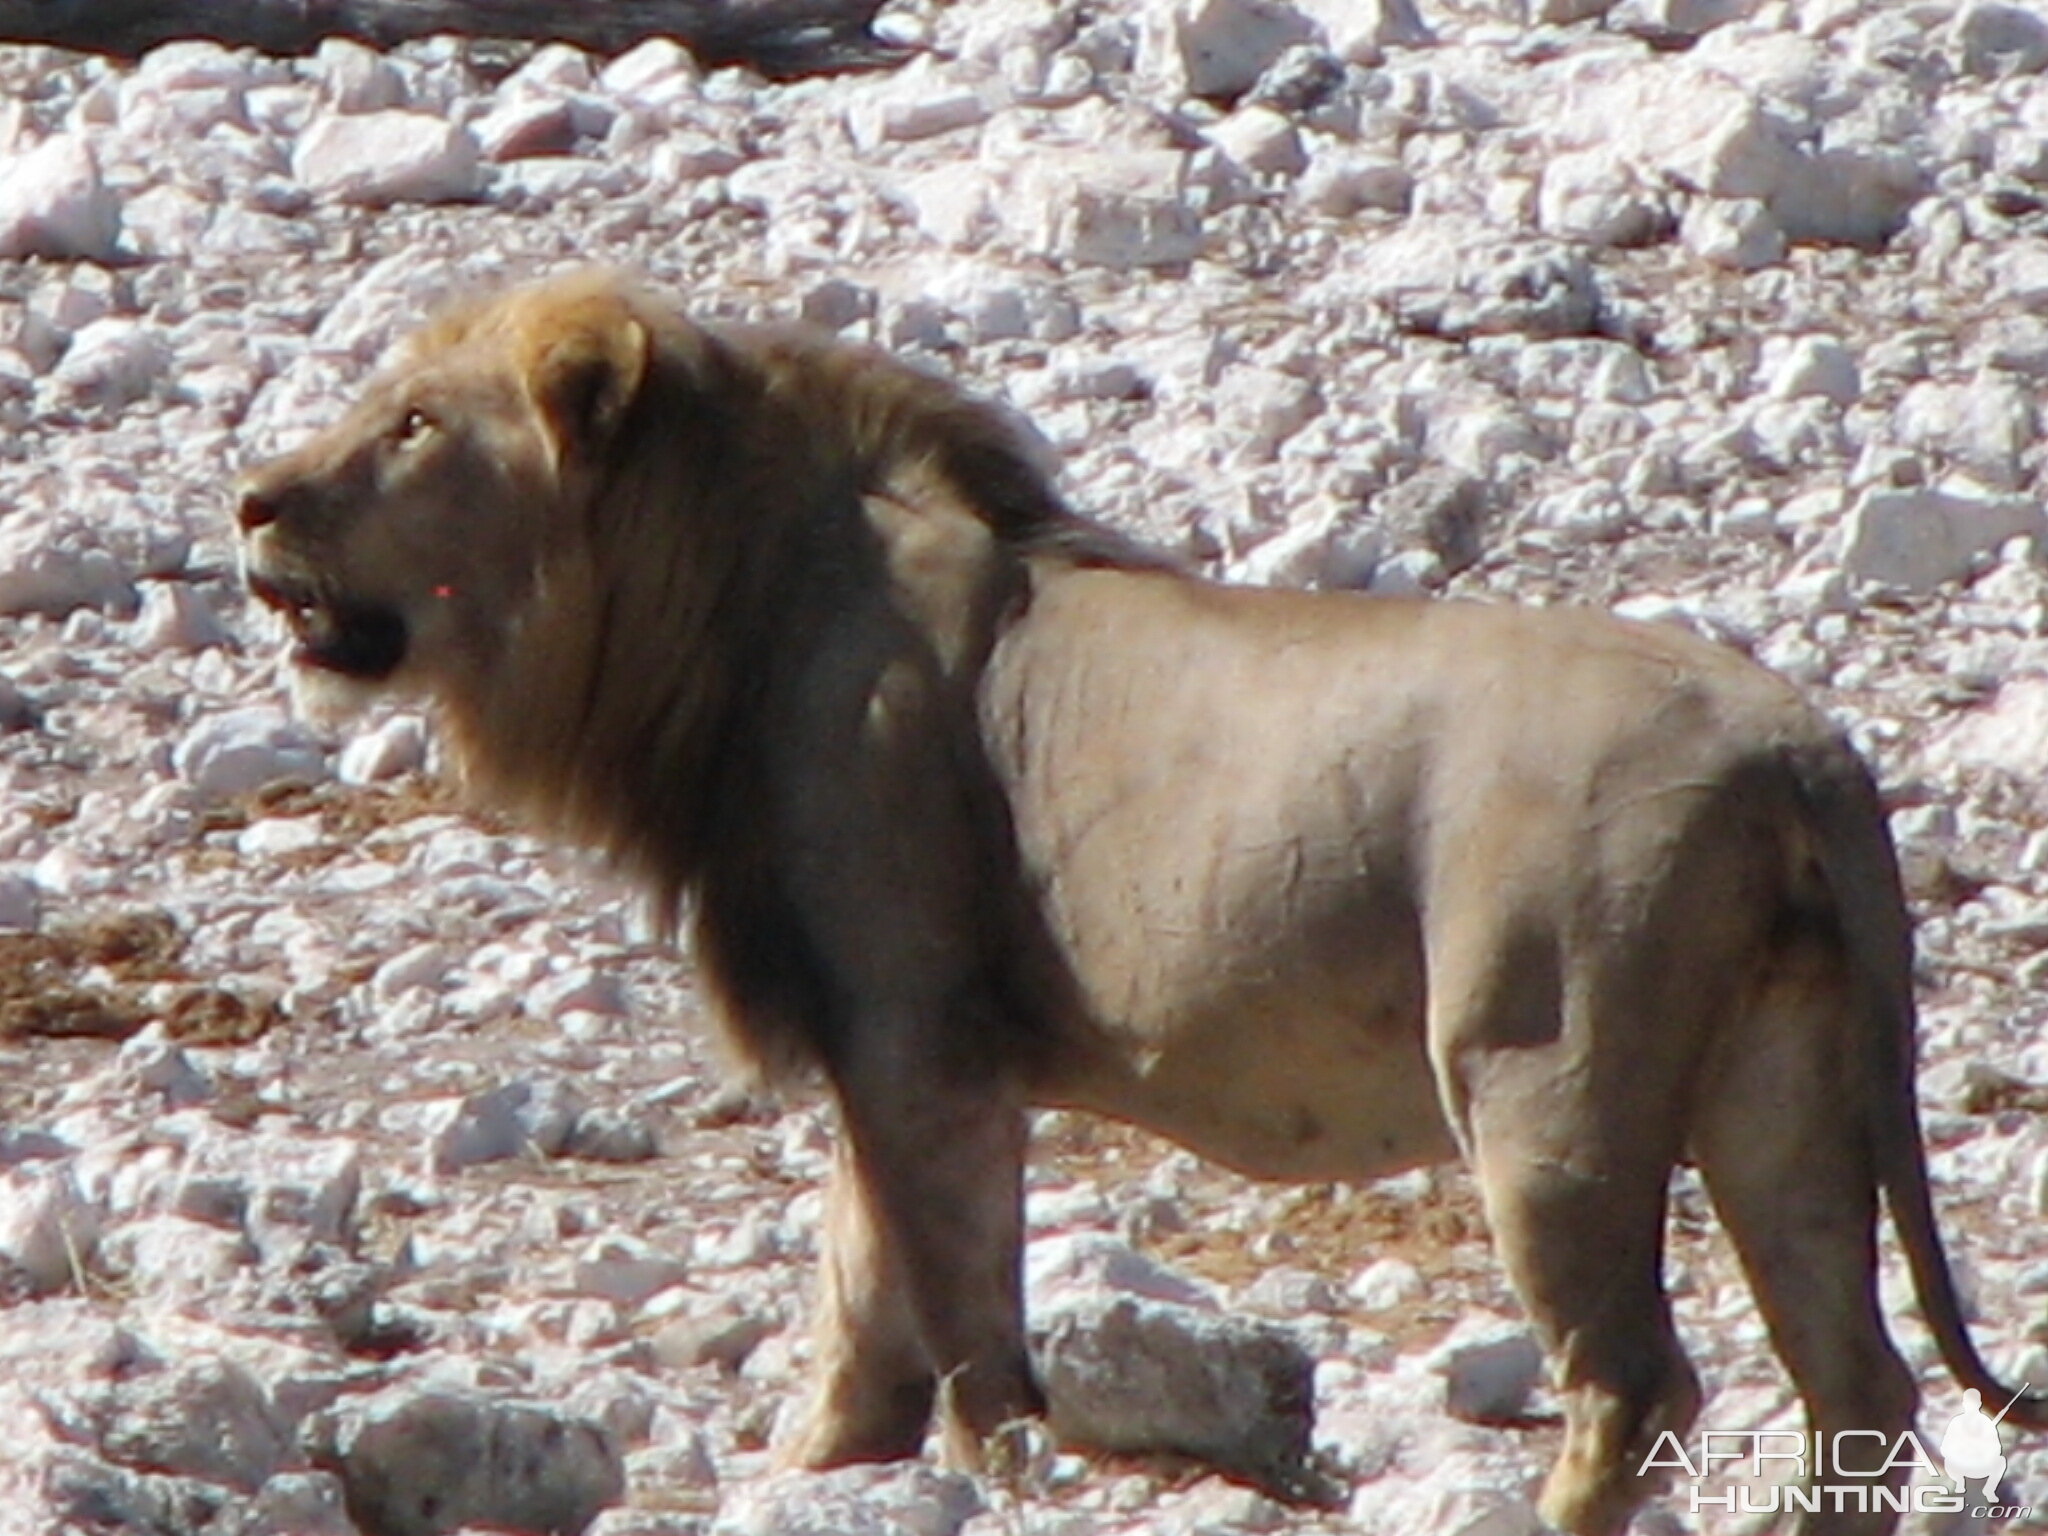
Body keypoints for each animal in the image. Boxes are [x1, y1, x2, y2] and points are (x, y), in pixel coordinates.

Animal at [243, 268, 2048, 1536]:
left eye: (414, 426)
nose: (252, 500)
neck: (719, 605)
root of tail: (1801, 744)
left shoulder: (916, 1032)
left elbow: (959, 1304)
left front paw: (979, 1471)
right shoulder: (877, 1039)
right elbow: (855, 1284)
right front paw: (823, 1461)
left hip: (1550, 1082)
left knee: (1633, 1380)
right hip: (1780, 1074)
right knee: (1856, 1376)